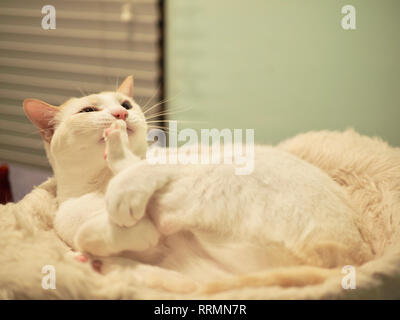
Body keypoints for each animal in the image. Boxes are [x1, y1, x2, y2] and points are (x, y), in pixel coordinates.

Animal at [22, 76, 372, 294]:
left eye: (126, 103)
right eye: (88, 110)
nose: (121, 114)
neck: (99, 183)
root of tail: (353, 259)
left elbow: (101, 228)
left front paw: (131, 229)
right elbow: (91, 233)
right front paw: (120, 242)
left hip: (201, 179)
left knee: (140, 182)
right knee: (184, 284)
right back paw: (97, 263)